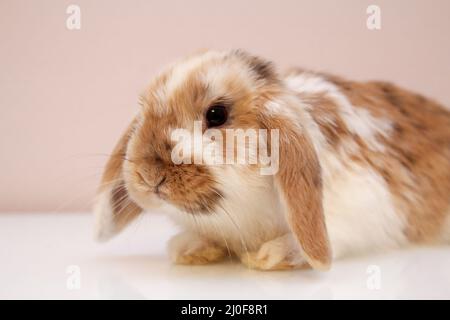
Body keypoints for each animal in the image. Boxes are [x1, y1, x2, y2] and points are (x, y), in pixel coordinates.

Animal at [92, 49, 450, 270]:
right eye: (143, 112)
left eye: (217, 114)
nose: (148, 174)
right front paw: (189, 249)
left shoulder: (362, 205)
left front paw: (271, 256)